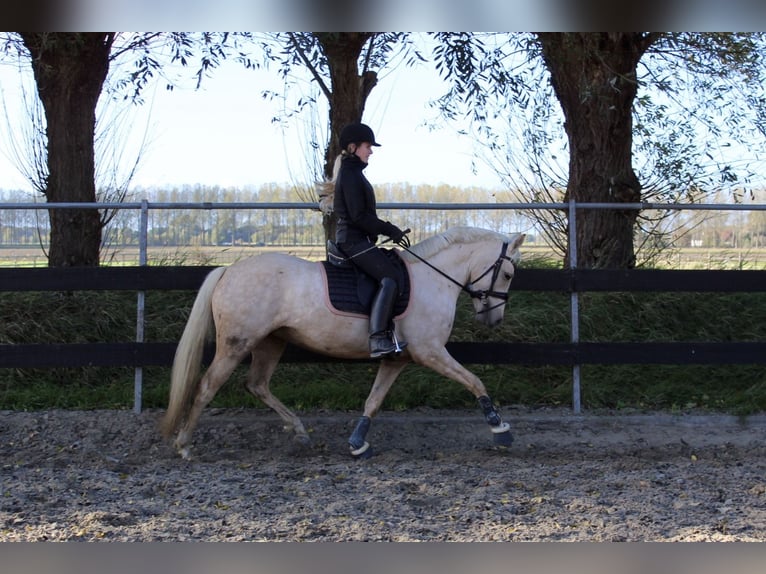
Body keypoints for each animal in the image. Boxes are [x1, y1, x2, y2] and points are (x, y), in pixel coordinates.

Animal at [160, 227, 524, 462]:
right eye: (508, 274)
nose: (493, 320)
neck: (432, 279)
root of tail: (228, 271)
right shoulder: (430, 352)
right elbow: (474, 381)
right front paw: (500, 428)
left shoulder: (397, 359)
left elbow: (373, 401)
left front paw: (358, 443)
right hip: (237, 343)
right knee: (207, 386)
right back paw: (184, 446)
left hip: (271, 342)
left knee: (257, 385)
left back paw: (300, 431)